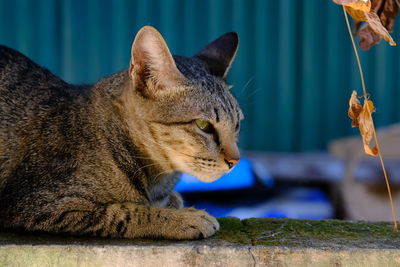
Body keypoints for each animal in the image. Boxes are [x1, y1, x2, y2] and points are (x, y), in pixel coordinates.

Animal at [0, 26, 242, 241]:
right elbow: (125, 212)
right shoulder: (36, 203)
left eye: (237, 124)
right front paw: (182, 219)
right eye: (203, 125)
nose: (235, 161)